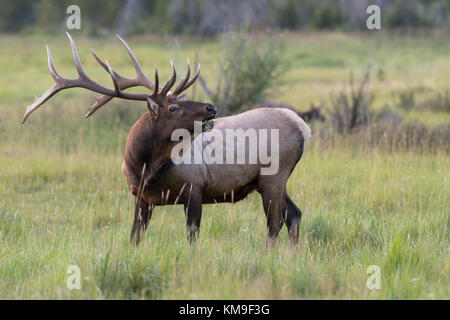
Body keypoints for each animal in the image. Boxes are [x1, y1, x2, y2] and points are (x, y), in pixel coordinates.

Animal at [22, 33, 312, 246]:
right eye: (173, 107)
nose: (211, 107)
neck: (143, 168)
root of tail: (302, 126)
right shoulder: (141, 198)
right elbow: (134, 236)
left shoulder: (195, 187)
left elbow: (192, 236)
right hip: (268, 181)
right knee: (294, 215)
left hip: (274, 176)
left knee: (275, 223)